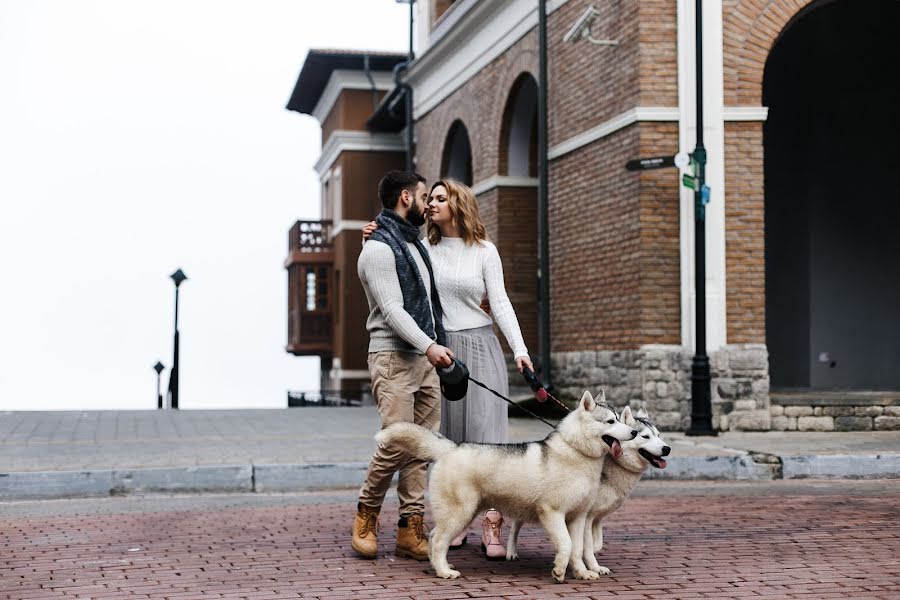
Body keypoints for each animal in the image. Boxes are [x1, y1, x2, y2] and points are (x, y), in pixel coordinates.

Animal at [370, 390, 632, 580]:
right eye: (610, 421)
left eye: (620, 419)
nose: (633, 431)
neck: (576, 451)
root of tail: (451, 447)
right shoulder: (552, 512)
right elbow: (566, 544)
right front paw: (559, 570)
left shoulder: (578, 517)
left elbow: (577, 549)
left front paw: (582, 572)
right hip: (460, 513)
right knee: (437, 541)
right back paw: (444, 572)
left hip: (463, 512)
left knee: (435, 536)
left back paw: (441, 566)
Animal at [506, 406, 668, 576]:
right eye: (645, 436)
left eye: (658, 435)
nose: (667, 449)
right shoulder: (587, 515)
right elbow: (587, 545)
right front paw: (590, 564)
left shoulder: (595, 518)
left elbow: (597, 542)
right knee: (516, 524)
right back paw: (511, 551)